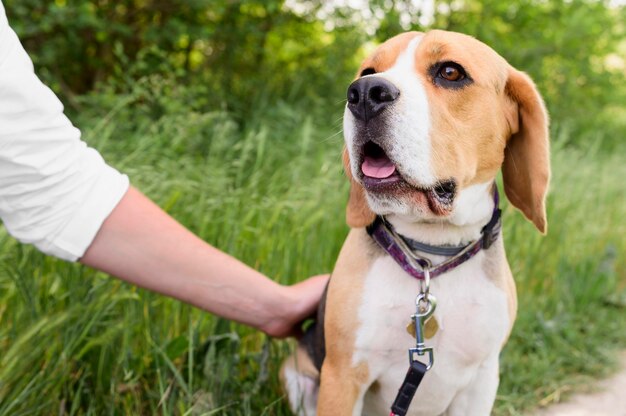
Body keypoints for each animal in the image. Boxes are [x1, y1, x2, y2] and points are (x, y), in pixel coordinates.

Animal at [280, 30, 548, 416]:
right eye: (368, 70)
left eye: (450, 72)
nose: (364, 93)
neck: (431, 255)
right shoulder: (343, 376)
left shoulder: (482, 381)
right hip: (296, 377)